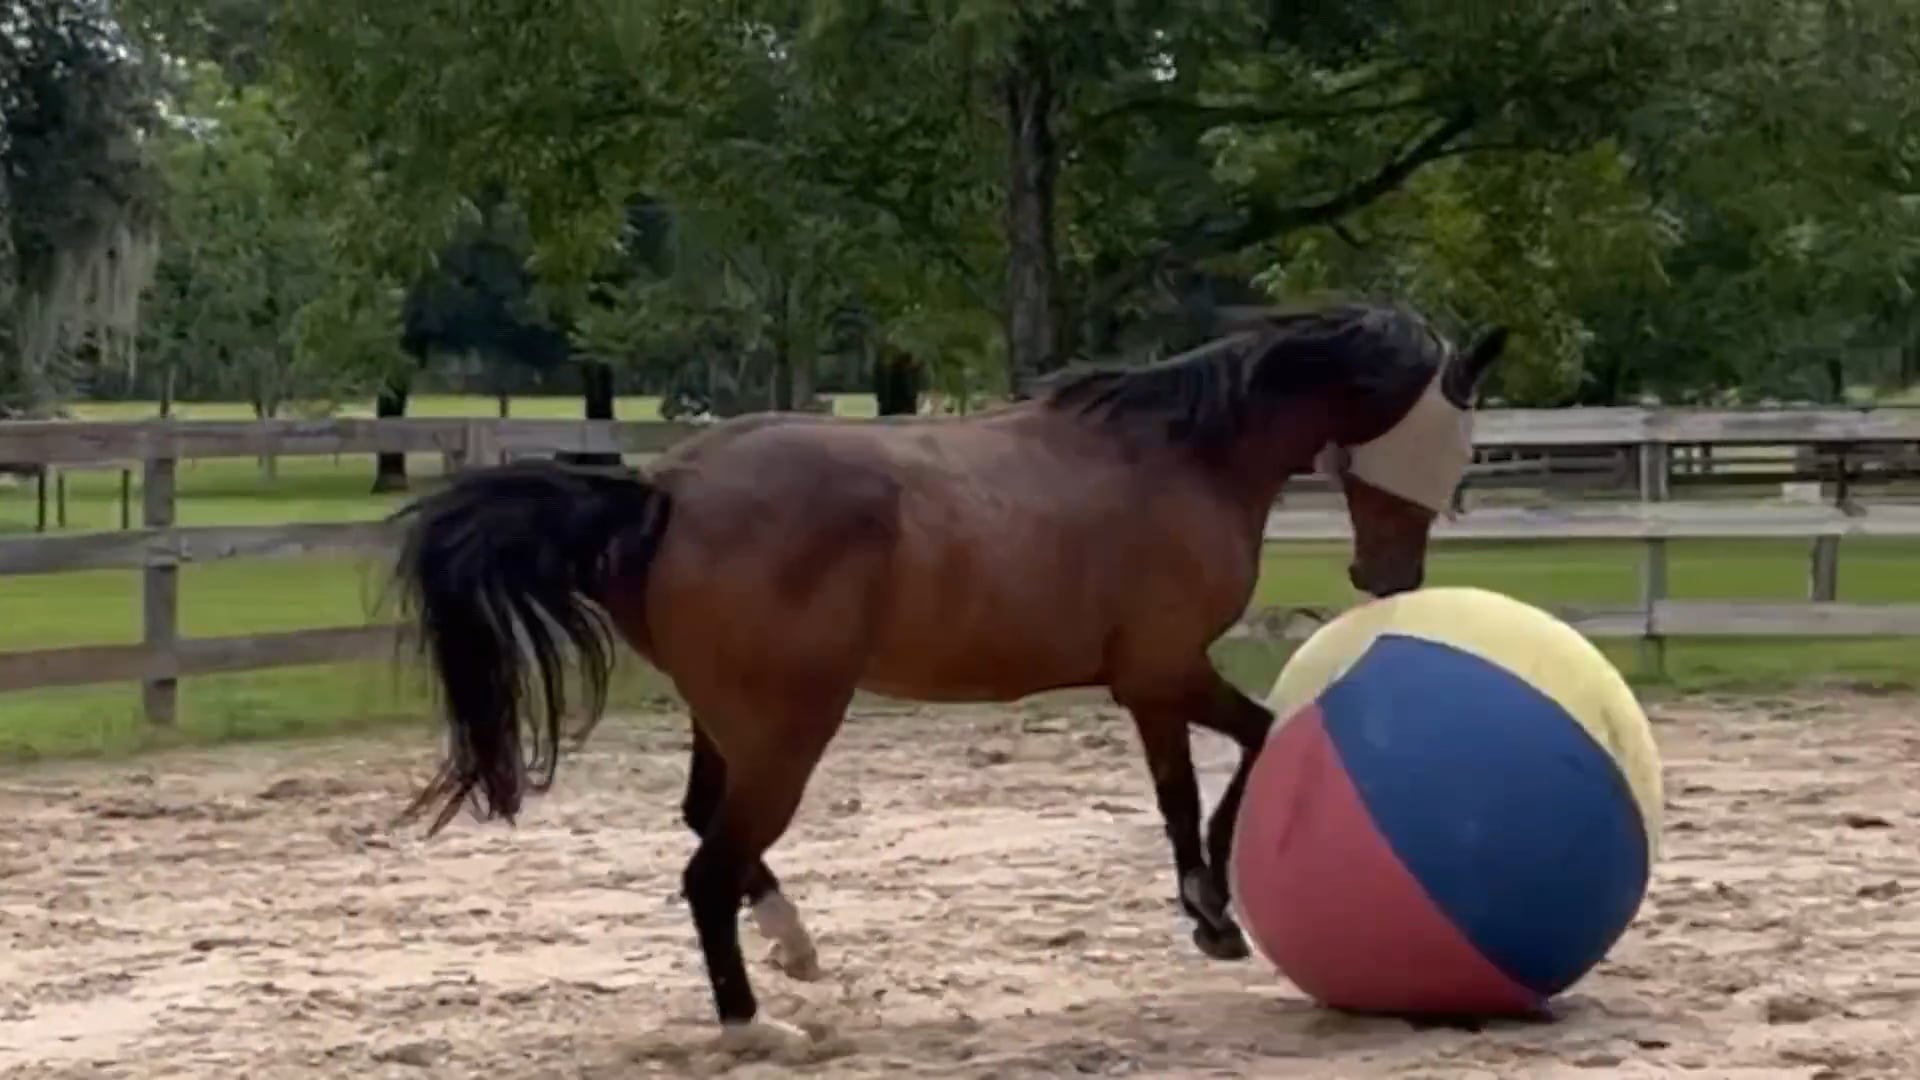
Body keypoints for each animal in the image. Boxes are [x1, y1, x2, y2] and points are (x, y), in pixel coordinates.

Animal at [386, 299, 1508, 1053]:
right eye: (1461, 436)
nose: (1391, 577)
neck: (1181, 457)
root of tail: (663, 494)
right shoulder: (1170, 669)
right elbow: (1260, 739)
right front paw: (1217, 906)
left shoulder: (1145, 684)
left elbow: (1178, 794)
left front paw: (1208, 913)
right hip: (789, 731)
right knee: (708, 865)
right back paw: (755, 1028)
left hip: (734, 724)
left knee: (709, 827)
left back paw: (795, 949)